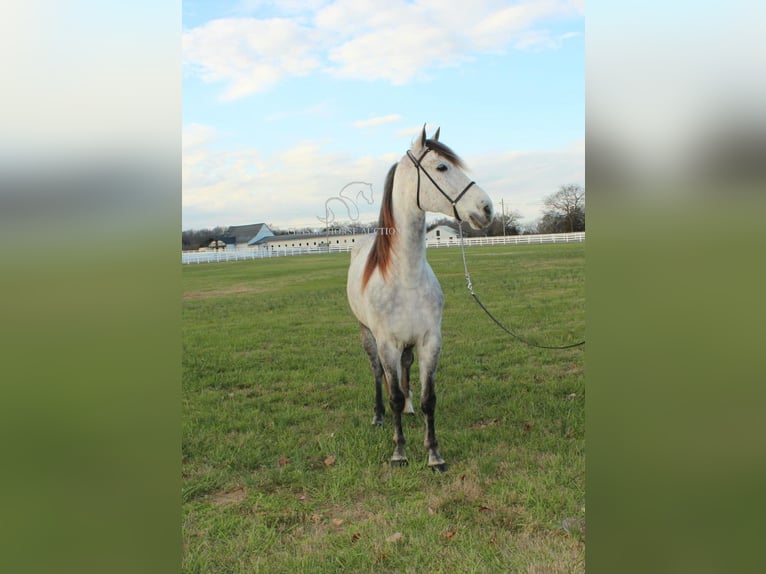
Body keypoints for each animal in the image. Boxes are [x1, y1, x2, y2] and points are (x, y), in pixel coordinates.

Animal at [350, 127, 498, 472]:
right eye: (441, 167)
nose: (486, 208)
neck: (405, 277)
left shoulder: (430, 340)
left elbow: (430, 398)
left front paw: (434, 455)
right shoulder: (386, 342)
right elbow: (392, 393)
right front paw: (399, 452)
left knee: (405, 371)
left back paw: (409, 407)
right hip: (368, 335)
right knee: (377, 374)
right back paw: (379, 416)